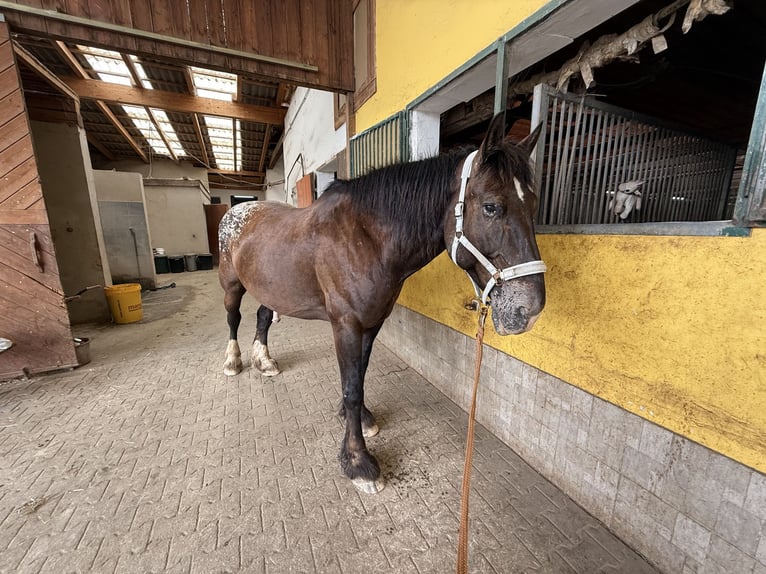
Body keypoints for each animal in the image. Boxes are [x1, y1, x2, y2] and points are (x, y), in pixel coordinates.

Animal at [218, 113, 547, 494]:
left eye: (534, 206)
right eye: (492, 207)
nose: (530, 310)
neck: (365, 238)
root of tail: (238, 210)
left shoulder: (372, 323)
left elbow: (359, 377)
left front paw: (360, 421)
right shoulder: (346, 325)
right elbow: (351, 388)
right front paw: (358, 461)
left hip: (270, 289)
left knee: (262, 316)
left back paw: (265, 362)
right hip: (232, 286)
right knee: (233, 319)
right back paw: (233, 361)